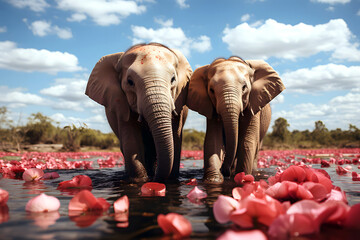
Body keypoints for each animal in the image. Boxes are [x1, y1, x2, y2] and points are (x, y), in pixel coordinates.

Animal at [85, 43, 191, 182]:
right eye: (130, 82)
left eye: (173, 79)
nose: (155, 179)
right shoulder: (120, 103)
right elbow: (131, 139)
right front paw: (140, 181)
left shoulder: (179, 99)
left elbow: (175, 139)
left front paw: (170, 180)